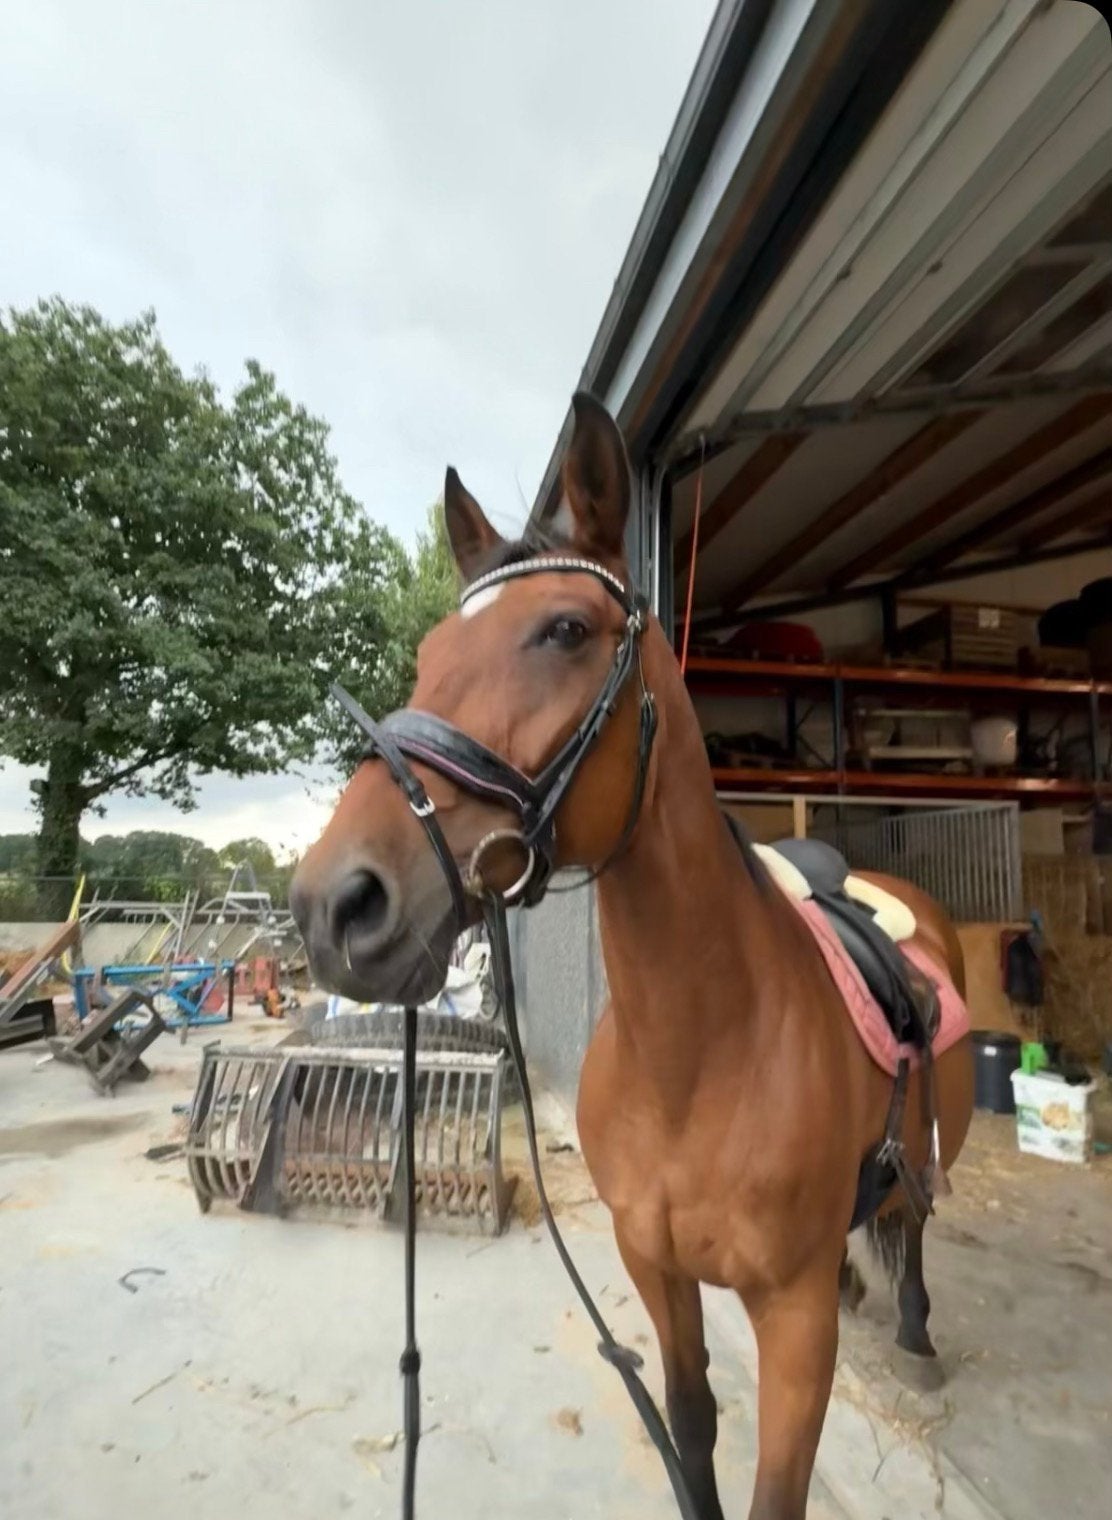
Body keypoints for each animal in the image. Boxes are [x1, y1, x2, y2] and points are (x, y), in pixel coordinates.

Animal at [290, 393, 975, 1520]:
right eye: (429, 651)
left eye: (565, 629)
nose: (333, 904)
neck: (700, 1056)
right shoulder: (655, 1268)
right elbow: (690, 1429)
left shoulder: (790, 1324)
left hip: (921, 1159)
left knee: (912, 1220)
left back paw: (917, 1329)